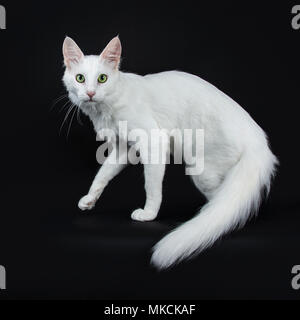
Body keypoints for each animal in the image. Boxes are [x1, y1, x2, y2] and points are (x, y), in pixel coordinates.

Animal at [62, 35, 278, 270]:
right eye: (80, 78)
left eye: (102, 78)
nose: (90, 93)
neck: (105, 108)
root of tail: (259, 141)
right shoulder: (123, 149)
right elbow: (102, 175)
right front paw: (89, 199)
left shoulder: (153, 141)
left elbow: (152, 187)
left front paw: (148, 214)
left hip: (202, 171)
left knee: (223, 204)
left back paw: (205, 218)